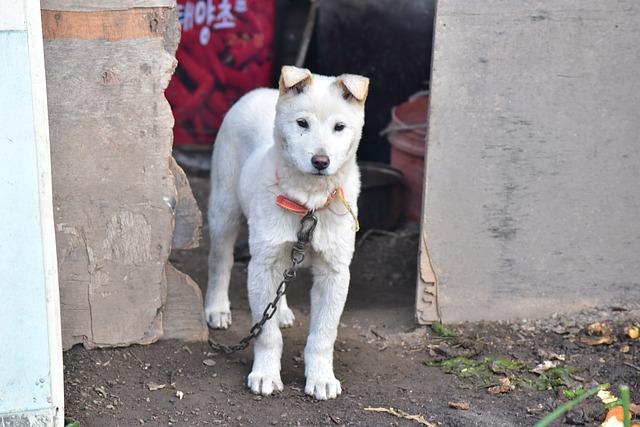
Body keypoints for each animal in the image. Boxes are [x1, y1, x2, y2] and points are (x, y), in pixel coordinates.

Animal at [205, 65, 370, 400]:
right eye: (302, 123)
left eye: (340, 127)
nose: (321, 161)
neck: (309, 204)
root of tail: (260, 91)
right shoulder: (263, 264)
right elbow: (266, 335)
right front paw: (266, 374)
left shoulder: (334, 272)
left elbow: (323, 335)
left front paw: (321, 378)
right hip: (224, 209)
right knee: (220, 262)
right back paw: (217, 308)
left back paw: (279, 311)